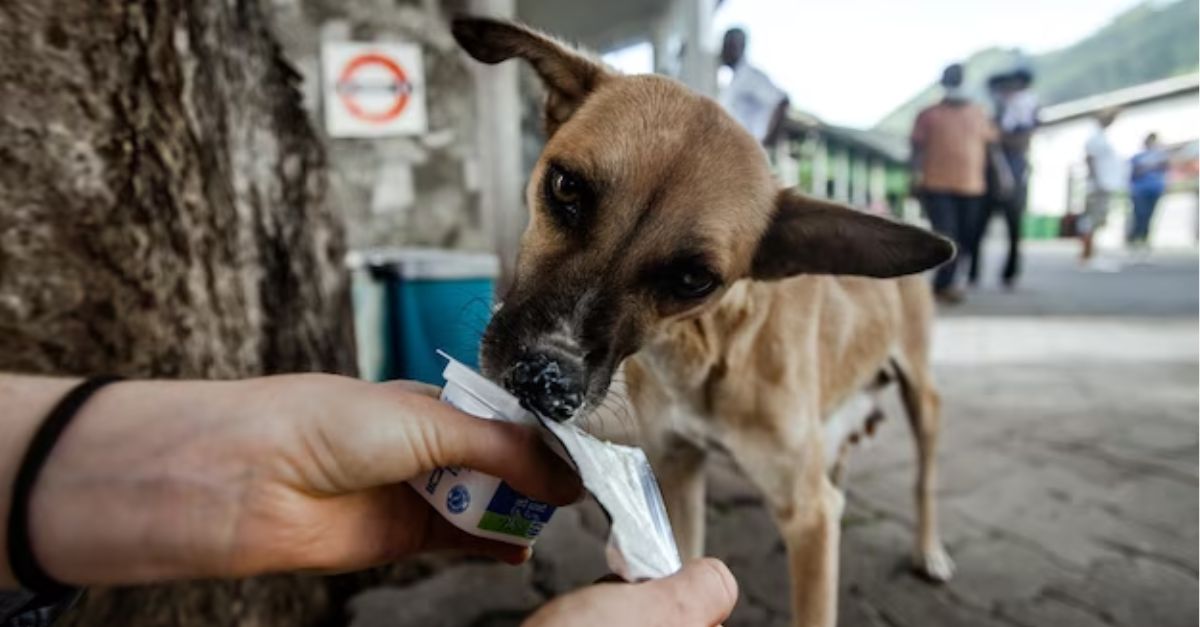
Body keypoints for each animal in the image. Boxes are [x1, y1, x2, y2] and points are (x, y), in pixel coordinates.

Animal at [451, 17, 955, 619]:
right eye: (566, 187)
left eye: (695, 279)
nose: (544, 380)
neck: (706, 348)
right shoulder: (678, 469)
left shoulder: (807, 515)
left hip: (923, 398)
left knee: (924, 480)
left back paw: (930, 552)